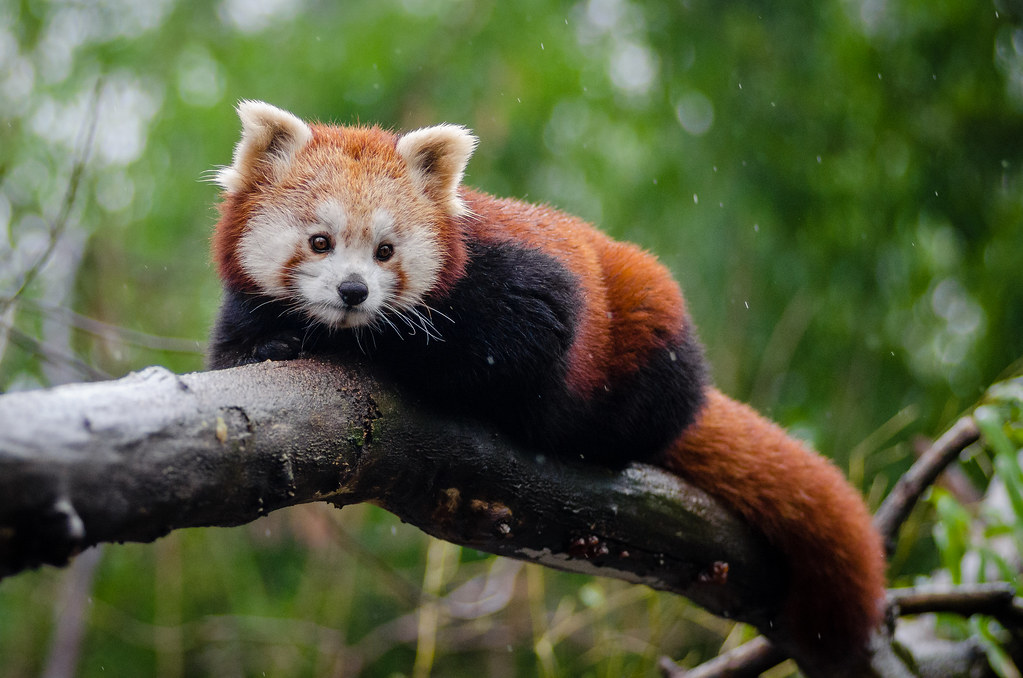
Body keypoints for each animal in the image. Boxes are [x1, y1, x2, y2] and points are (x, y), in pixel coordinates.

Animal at [207, 100, 887, 674]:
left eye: (385, 251)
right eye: (320, 242)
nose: (354, 292)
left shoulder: (518, 285)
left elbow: (506, 339)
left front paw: (371, 347)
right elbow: (231, 352)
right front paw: (273, 344)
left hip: (648, 320)